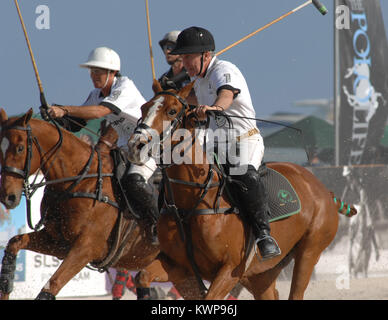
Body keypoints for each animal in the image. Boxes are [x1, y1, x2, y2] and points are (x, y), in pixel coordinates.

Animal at [0, 108, 161, 300]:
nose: (8, 196)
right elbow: (14, 243)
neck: (79, 181)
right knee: (143, 278)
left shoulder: (87, 247)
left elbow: (52, 285)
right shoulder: (58, 242)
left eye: (20, 148)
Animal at [128, 80, 358, 300]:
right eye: (143, 107)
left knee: (297, 290)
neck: (191, 201)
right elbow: (142, 276)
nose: (135, 145)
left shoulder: (231, 269)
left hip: (309, 251)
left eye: (172, 111)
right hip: (260, 275)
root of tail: (323, 190)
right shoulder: (179, 265)